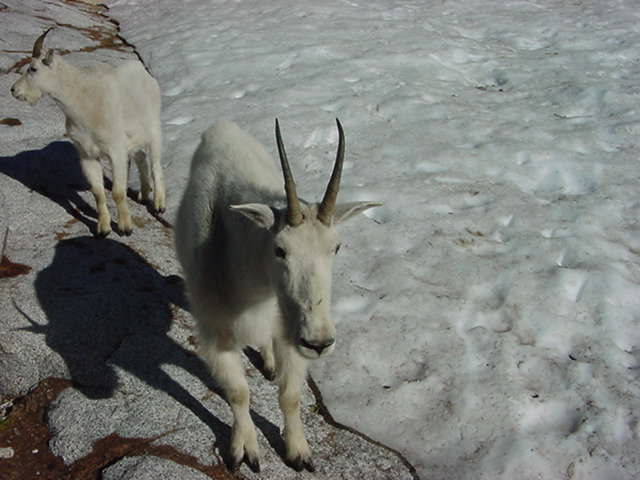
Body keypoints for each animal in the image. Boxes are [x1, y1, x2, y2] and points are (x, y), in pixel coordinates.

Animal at [10, 29, 165, 236]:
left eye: (33, 69)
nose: (14, 90)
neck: (82, 100)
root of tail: (144, 73)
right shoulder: (86, 154)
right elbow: (98, 192)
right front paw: (103, 229)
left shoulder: (116, 150)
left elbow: (118, 192)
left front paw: (125, 228)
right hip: (134, 138)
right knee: (140, 157)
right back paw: (143, 194)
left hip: (154, 129)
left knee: (156, 165)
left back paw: (159, 204)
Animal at [174, 119, 380, 472]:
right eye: (280, 249)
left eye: (336, 247)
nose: (319, 342)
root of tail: (223, 126)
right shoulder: (216, 332)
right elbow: (239, 392)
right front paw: (244, 451)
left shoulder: (289, 331)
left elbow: (291, 396)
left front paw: (298, 452)